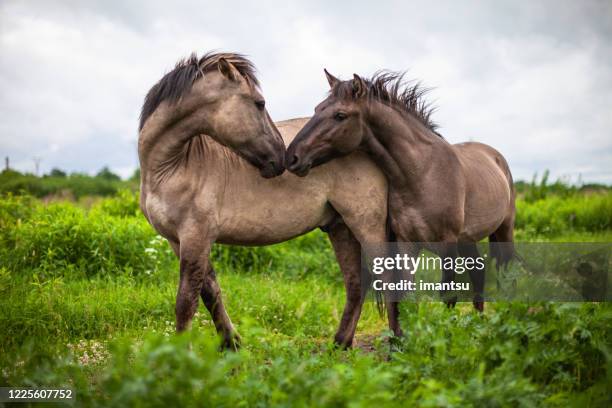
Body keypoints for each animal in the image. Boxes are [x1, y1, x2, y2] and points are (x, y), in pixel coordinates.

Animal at [137, 52, 388, 350]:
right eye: (260, 103)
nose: (282, 157)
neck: (169, 167)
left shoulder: (196, 237)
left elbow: (187, 301)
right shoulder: (177, 240)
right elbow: (210, 292)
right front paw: (231, 343)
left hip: (366, 225)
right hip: (340, 227)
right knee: (356, 284)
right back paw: (341, 344)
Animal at [286, 70, 516, 338]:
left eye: (340, 115)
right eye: (317, 108)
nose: (292, 157)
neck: (423, 173)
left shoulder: (447, 244)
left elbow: (448, 295)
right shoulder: (407, 243)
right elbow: (405, 292)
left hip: (503, 230)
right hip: (467, 240)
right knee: (479, 274)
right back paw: (478, 324)